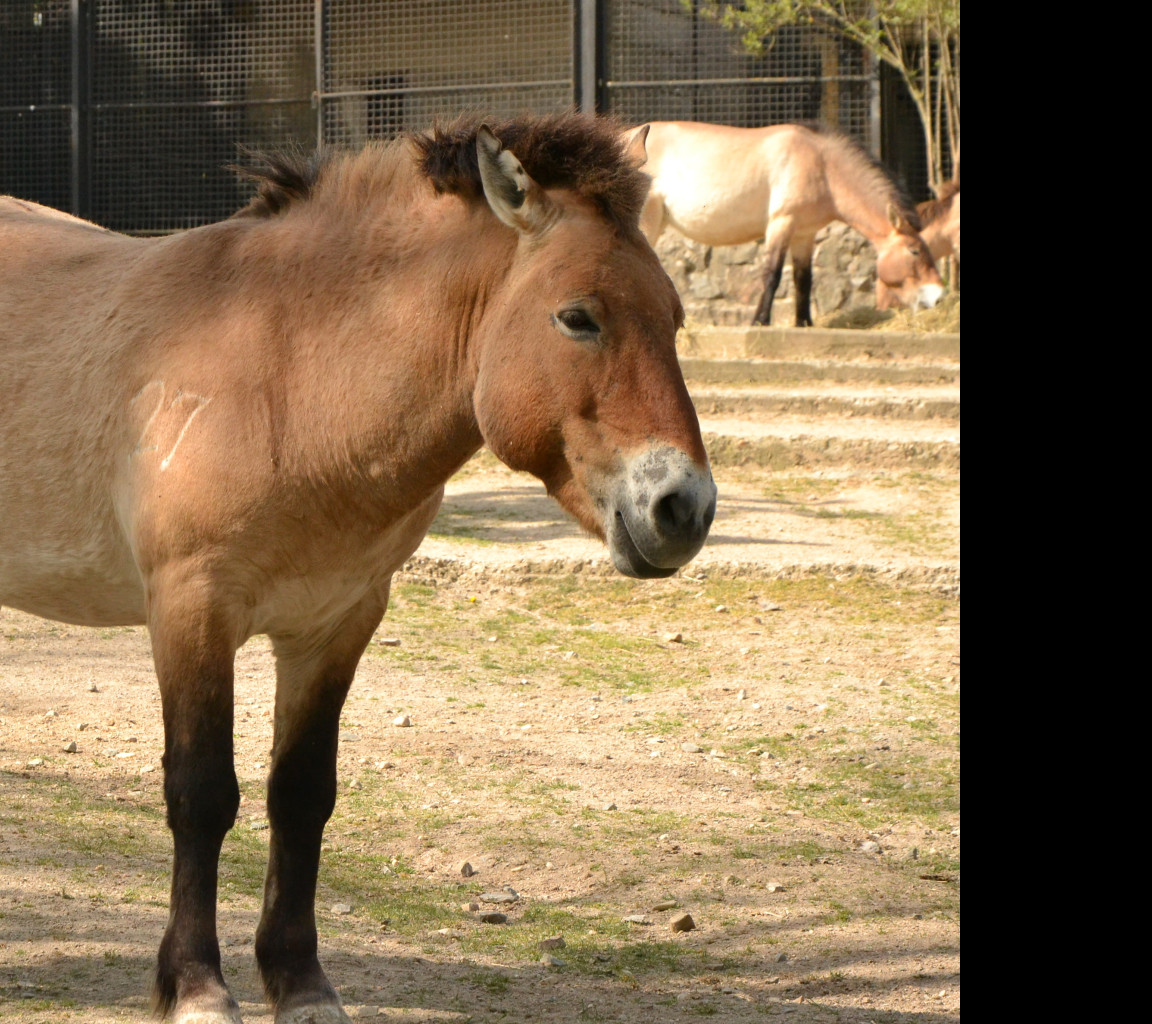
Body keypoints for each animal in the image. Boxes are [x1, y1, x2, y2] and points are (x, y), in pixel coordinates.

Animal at [0, 111, 714, 1022]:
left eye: (673, 316)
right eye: (577, 317)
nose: (684, 508)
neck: (290, 374)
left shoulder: (337, 622)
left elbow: (303, 796)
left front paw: (300, 982)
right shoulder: (192, 608)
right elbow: (201, 793)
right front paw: (196, 985)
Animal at [631, 122, 944, 324]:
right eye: (915, 250)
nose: (938, 296)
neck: (821, 166)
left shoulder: (804, 235)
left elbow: (803, 279)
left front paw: (804, 322)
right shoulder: (782, 223)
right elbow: (772, 274)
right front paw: (760, 320)